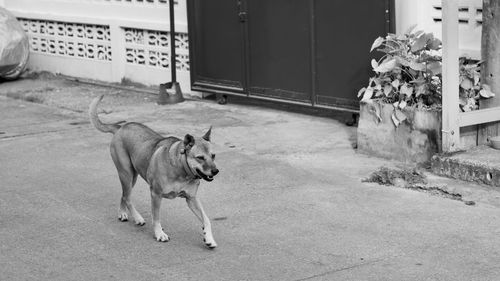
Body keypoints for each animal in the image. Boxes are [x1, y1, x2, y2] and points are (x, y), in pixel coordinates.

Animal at [90, 94, 219, 247]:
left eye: (213, 155)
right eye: (200, 158)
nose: (216, 171)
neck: (180, 168)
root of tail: (121, 127)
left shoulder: (191, 198)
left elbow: (206, 219)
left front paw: (209, 238)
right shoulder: (156, 195)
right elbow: (156, 218)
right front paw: (159, 234)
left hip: (132, 177)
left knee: (124, 195)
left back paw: (122, 213)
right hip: (126, 173)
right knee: (127, 197)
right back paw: (138, 217)